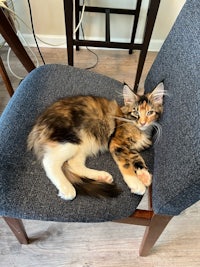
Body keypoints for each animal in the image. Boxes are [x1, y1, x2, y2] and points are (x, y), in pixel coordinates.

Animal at [27, 84, 164, 201]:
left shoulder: (130, 148)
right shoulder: (117, 144)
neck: (139, 129)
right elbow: (126, 164)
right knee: (49, 162)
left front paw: (144, 175)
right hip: (70, 140)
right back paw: (68, 189)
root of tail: (38, 125)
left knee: (73, 164)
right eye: (136, 112)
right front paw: (135, 183)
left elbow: (138, 158)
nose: (143, 123)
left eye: (150, 112)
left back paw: (102, 176)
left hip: (83, 145)